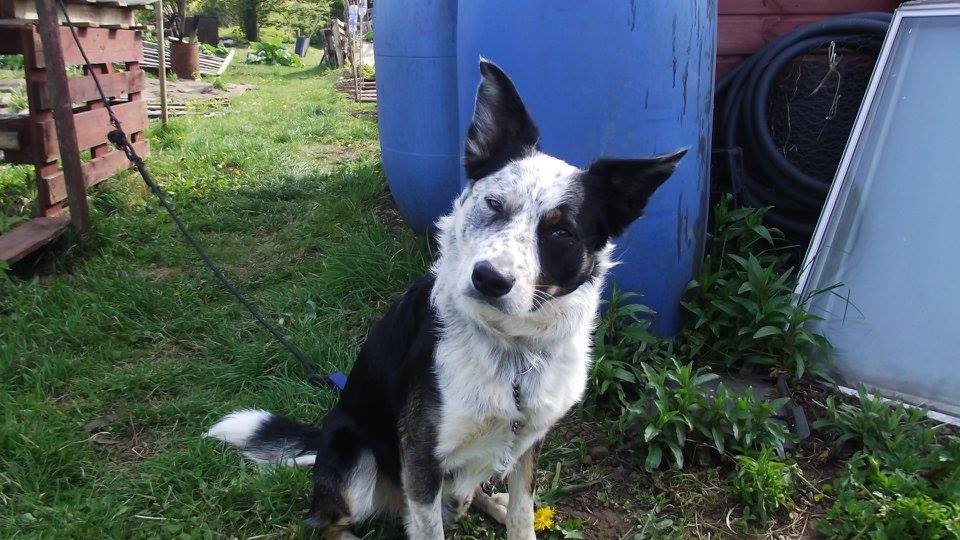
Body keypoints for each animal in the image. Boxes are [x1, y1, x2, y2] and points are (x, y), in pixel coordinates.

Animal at [206, 61, 688, 536]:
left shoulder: (527, 443)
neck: (512, 351)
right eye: (493, 204)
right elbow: (429, 523)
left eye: (561, 232)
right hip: (357, 464)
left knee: (474, 496)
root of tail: (324, 431)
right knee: (328, 521)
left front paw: (516, 515)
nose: (490, 279)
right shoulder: (421, 455)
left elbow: (522, 511)